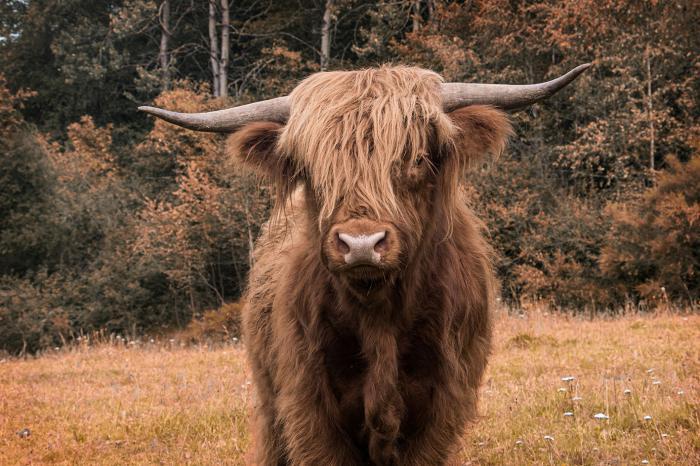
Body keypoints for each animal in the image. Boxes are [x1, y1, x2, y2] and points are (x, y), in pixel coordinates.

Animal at [142, 62, 592, 466]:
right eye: (312, 169)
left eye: (416, 159)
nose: (360, 244)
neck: (380, 318)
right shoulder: (308, 405)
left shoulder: (442, 404)